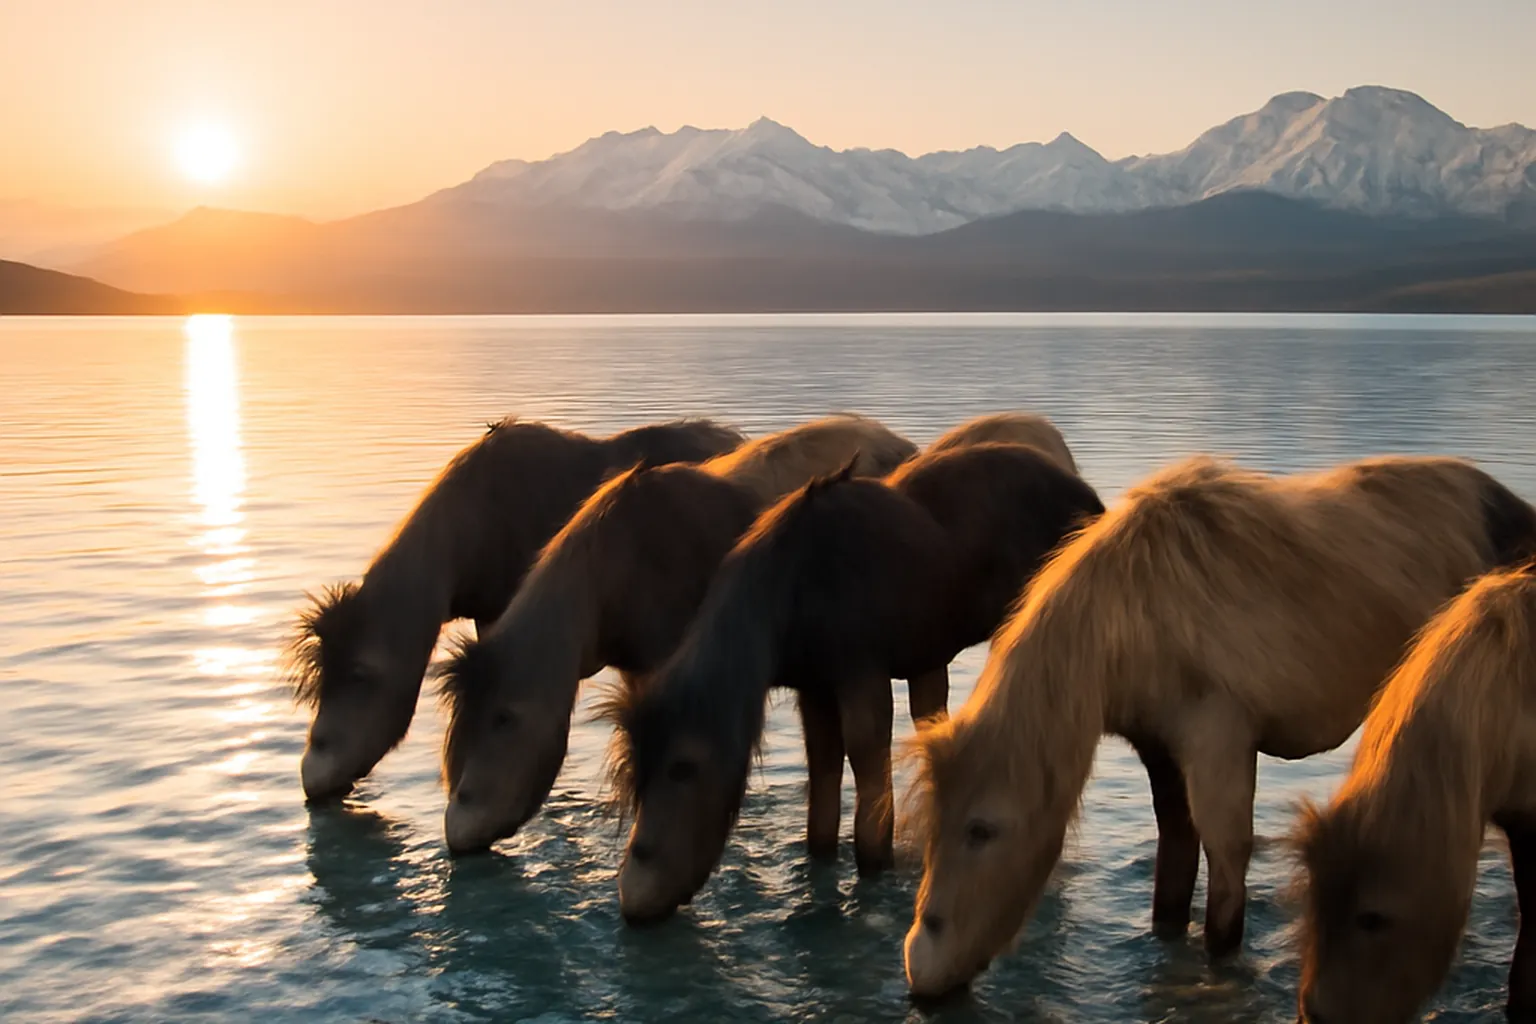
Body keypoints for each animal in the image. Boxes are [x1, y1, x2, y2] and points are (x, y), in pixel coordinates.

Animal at [604, 440, 1104, 925]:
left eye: (683, 768)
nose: (634, 900)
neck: (789, 597)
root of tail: (1093, 502)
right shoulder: (815, 688)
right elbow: (823, 786)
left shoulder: (863, 676)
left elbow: (869, 787)